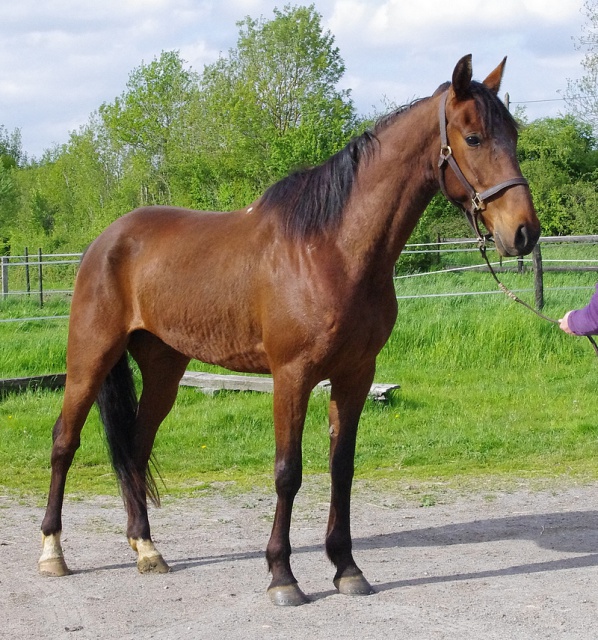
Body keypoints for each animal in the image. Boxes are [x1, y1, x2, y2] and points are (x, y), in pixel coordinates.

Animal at [38, 56, 544, 604]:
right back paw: (52, 553)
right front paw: (283, 576)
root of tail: (106, 240)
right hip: (90, 357)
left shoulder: (356, 375)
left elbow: (342, 469)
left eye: (514, 134)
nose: (524, 232)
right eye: (473, 137)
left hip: (163, 368)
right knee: (65, 441)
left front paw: (347, 568)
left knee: (135, 446)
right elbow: (288, 472)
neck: (331, 248)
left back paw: (146, 548)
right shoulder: (292, 375)